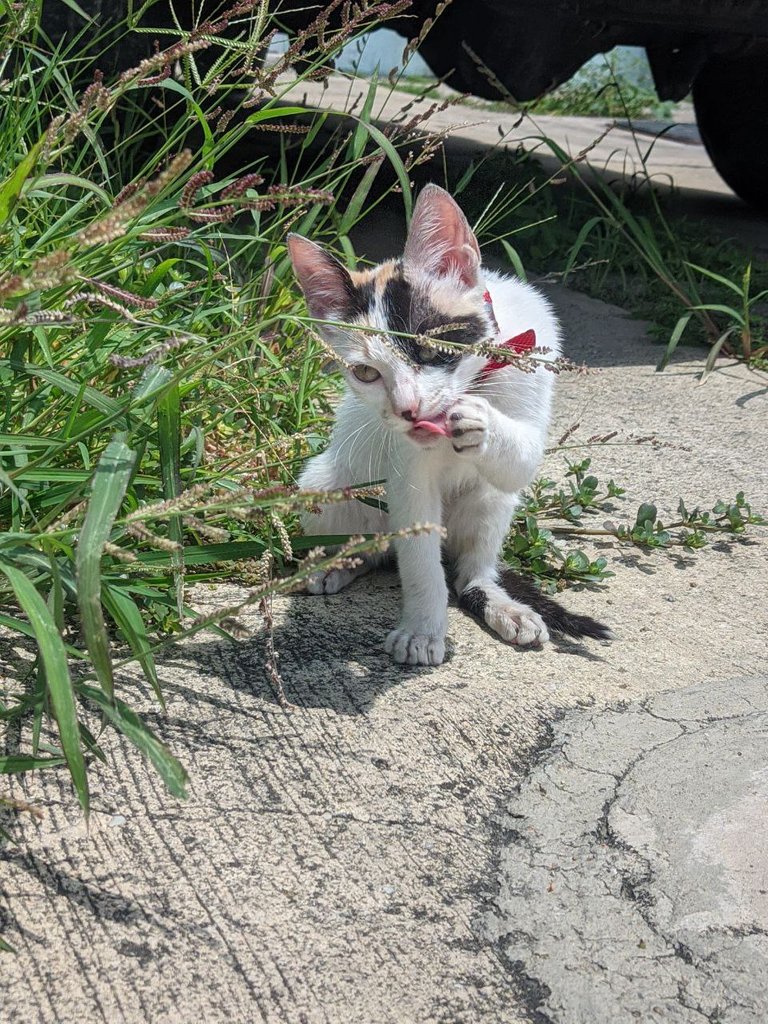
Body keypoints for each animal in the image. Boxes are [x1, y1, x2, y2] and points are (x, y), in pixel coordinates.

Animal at [286, 182, 610, 663]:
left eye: (428, 346)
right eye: (365, 372)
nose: (408, 408)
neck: (477, 375)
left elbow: (523, 459)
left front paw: (481, 420)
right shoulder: (408, 478)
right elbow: (421, 563)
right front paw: (422, 630)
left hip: (490, 503)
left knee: (470, 570)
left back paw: (497, 601)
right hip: (325, 484)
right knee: (381, 548)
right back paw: (337, 563)